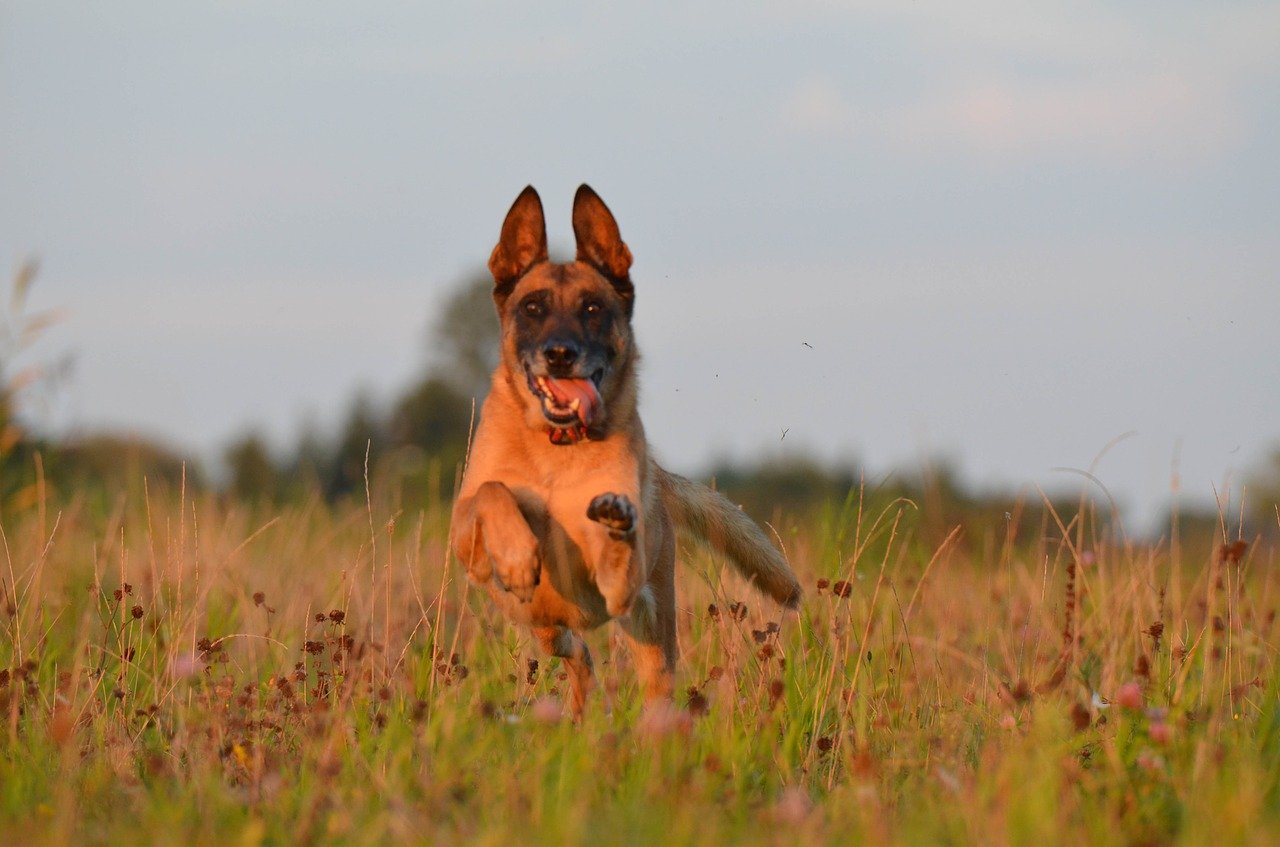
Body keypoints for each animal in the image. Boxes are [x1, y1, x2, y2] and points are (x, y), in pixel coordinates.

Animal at [450, 184, 798, 716]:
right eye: (533, 308)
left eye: (593, 309)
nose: (560, 354)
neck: (557, 451)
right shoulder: (464, 535)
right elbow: (493, 492)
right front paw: (516, 554)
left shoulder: (616, 585)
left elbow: (616, 561)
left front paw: (615, 524)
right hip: (545, 627)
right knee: (577, 654)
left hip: (653, 637)